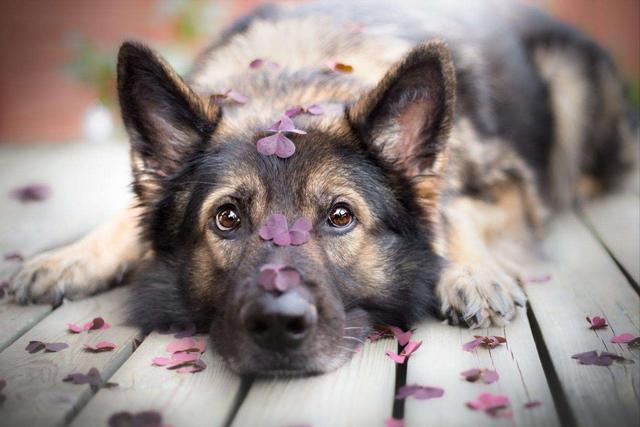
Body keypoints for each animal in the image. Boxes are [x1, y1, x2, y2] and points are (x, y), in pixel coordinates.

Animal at [7, 0, 632, 374]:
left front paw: (472, 273)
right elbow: (121, 218)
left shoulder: (507, 182)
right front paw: (68, 257)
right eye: (227, 218)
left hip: (568, 87)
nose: (277, 323)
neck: (292, 80)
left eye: (340, 217)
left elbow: (454, 210)